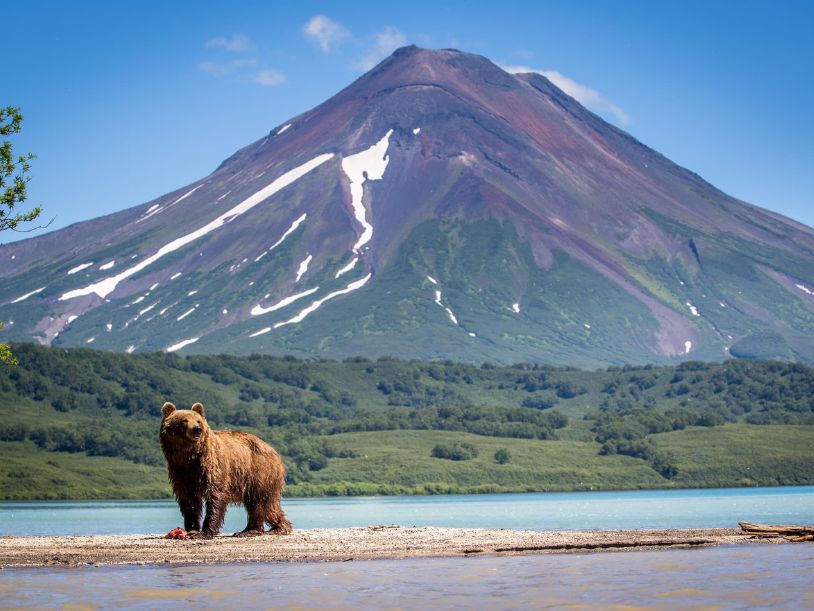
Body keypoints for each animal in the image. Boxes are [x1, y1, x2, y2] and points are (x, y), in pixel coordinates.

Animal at [159, 401, 292, 538]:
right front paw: (191, 528)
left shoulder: (213, 466)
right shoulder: (180, 471)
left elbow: (216, 495)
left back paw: (250, 530)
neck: (189, 456)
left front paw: (204, 532)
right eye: (183, 421)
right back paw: (279, 527)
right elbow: (189, 500)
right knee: (270, 505)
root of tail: (274, 451)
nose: (197, 429)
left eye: (198, 421)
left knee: (257, 502)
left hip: (259, 471)